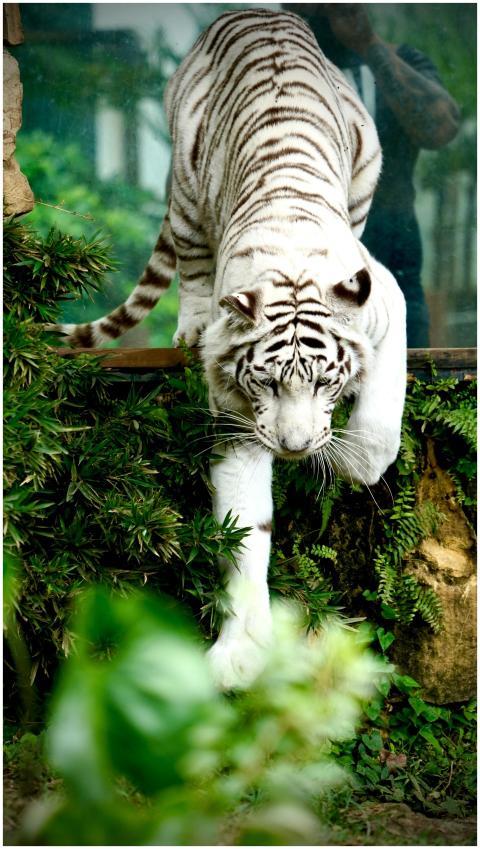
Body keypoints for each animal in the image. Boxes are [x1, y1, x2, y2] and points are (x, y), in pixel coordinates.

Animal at [51, 9, 407, 690]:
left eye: (326, 381)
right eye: (267, 382)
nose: (295, 448)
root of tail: (257, 12)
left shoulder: (387, 305)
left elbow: (378, 426)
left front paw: (353, 461)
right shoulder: (236, 416)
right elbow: (245, 525)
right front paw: (241, 651)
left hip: (367, 167)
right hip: (189, 194)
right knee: (190, 269)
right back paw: (189, 330)